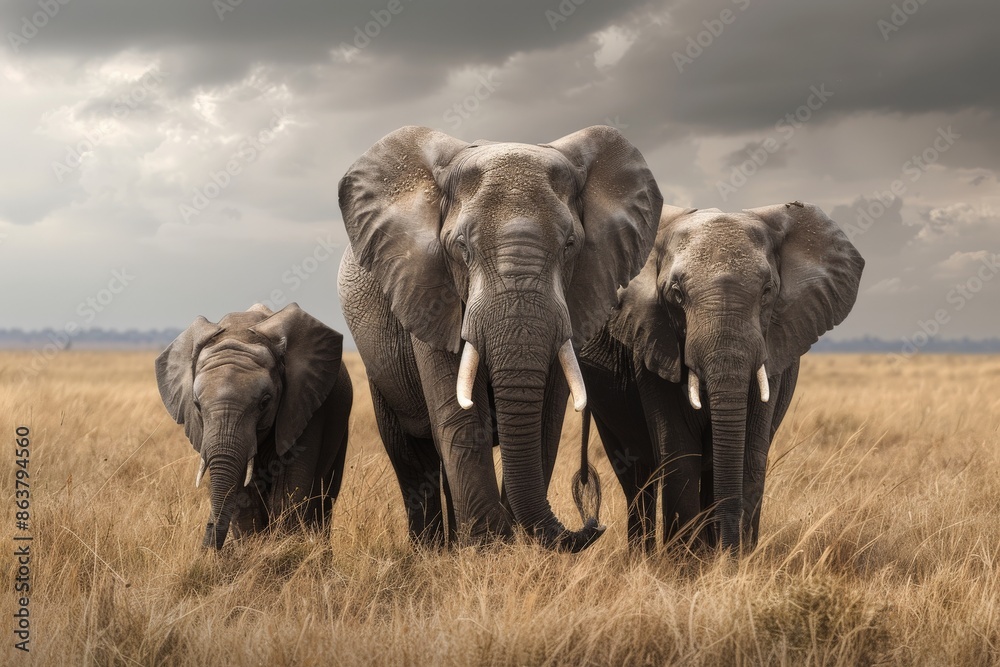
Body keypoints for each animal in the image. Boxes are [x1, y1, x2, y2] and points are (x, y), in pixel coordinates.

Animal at [155, 303, 353, 549]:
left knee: (325, 500)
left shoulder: (305, 406)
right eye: (197, 405)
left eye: (265, 402)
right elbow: (243, 498)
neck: (239, 332)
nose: (206, 551)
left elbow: (287, 494)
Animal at [337, 125, 662, 552]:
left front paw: (514, 544)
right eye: (461, 247)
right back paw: (432, 549)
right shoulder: (428, 290)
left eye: (570, 245)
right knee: (411, 451)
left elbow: (545, 419)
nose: (594, 524)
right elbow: (460, 415)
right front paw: (487, 546)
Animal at [580, 201, 864, 552]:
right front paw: (684, 562)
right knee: (636, 477)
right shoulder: (652, 341)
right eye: (676, 294)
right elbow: (679, 453)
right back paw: (645, 557)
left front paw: (733, 560)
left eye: (768, 291)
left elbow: (749, 453)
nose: (729, 549)